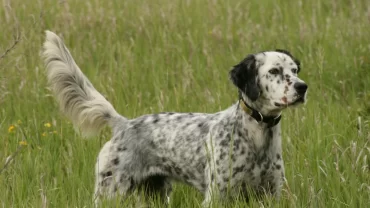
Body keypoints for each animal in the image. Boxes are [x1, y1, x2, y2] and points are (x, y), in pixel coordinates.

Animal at [42, 30, 308, 206]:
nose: (302, 87)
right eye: (274, 71)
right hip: (110, 191)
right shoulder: (217, 195)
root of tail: (123, 124)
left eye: (294, 70)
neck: (255, 136)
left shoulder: (272, 193)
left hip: (157, 194)